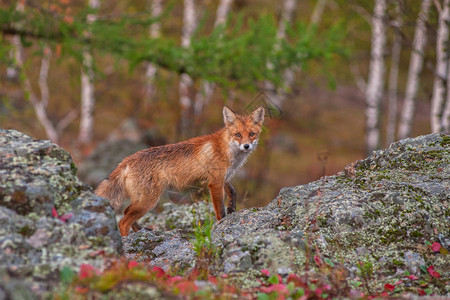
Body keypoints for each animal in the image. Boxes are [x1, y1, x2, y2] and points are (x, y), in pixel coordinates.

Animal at [95, 106, 264, 237]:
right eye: (238, 135)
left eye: (251, 134)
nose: (246, 146)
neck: (227, 148)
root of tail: (126, 160)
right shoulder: (214, 183)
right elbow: (219, 210)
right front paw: (223, 222)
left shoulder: (223, 177)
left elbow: (233, 192)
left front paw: (232, 209)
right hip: (149, 201)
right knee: (123, 221)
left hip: (141, 200)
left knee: (125, 212)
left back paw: (141, 231)